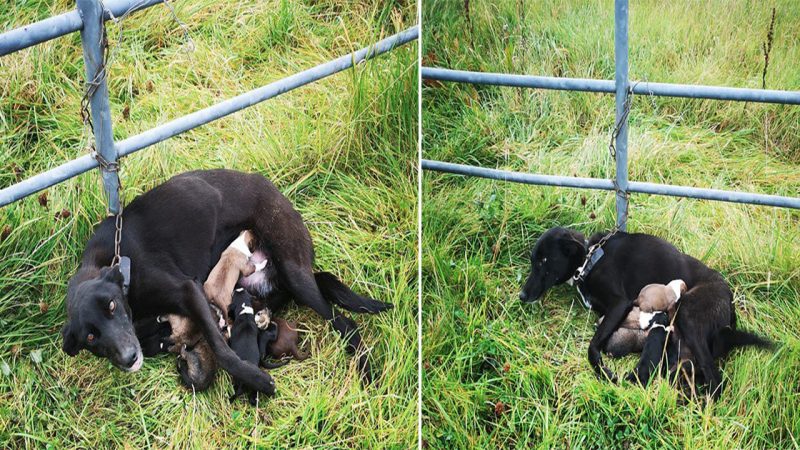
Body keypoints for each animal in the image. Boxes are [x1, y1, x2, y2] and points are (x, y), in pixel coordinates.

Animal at [61, 169, 392, 398]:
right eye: (90, 337)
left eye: (112, 305)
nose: (130, 359)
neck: (118, 265)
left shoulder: (188, 291)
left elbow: (220, 348)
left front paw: (256, 379)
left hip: (295, 272)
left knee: (345, 323)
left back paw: (366, 372)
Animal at [520, 227, 776, 400]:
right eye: (533, 261)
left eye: (544, 261)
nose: (521, 296)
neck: (589, 260)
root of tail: (730, 304)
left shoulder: (619, 304)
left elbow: (592, 348)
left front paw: (605, 372)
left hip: (689, 315)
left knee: (715, 380)